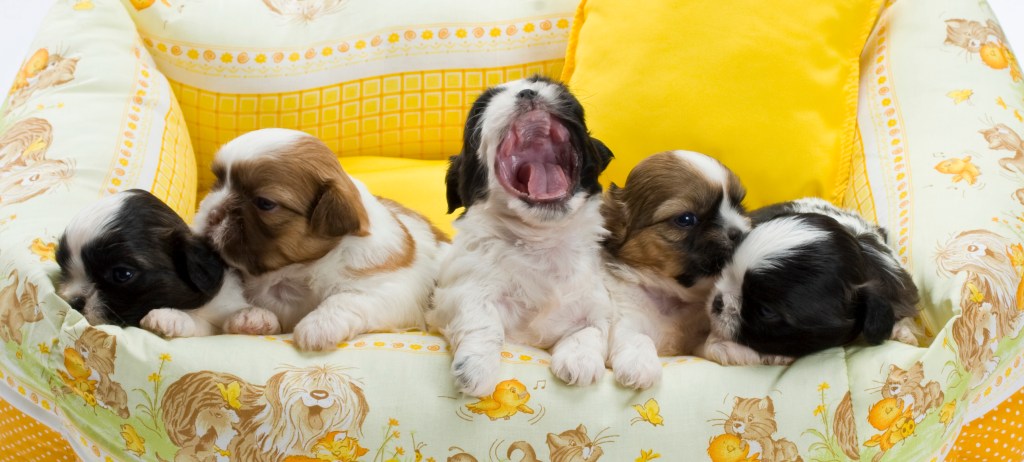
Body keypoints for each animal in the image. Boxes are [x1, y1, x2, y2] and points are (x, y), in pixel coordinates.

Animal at [425, 76, 610, 397]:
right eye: (480, 109)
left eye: (565, 96)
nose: (527, 92)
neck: (542, 243)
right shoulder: (459, 290)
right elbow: (482, 318)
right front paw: (475, 368)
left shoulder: (596, 298)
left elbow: (593, 326)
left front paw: (580, 359)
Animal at [598, 150, 753, 389]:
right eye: (686, 219)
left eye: (738, 205)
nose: (740, 233)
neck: (673, 296)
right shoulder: (626, 318)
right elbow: (636, 337)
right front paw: (639, 365)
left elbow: (711, 341)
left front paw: (735, 348)